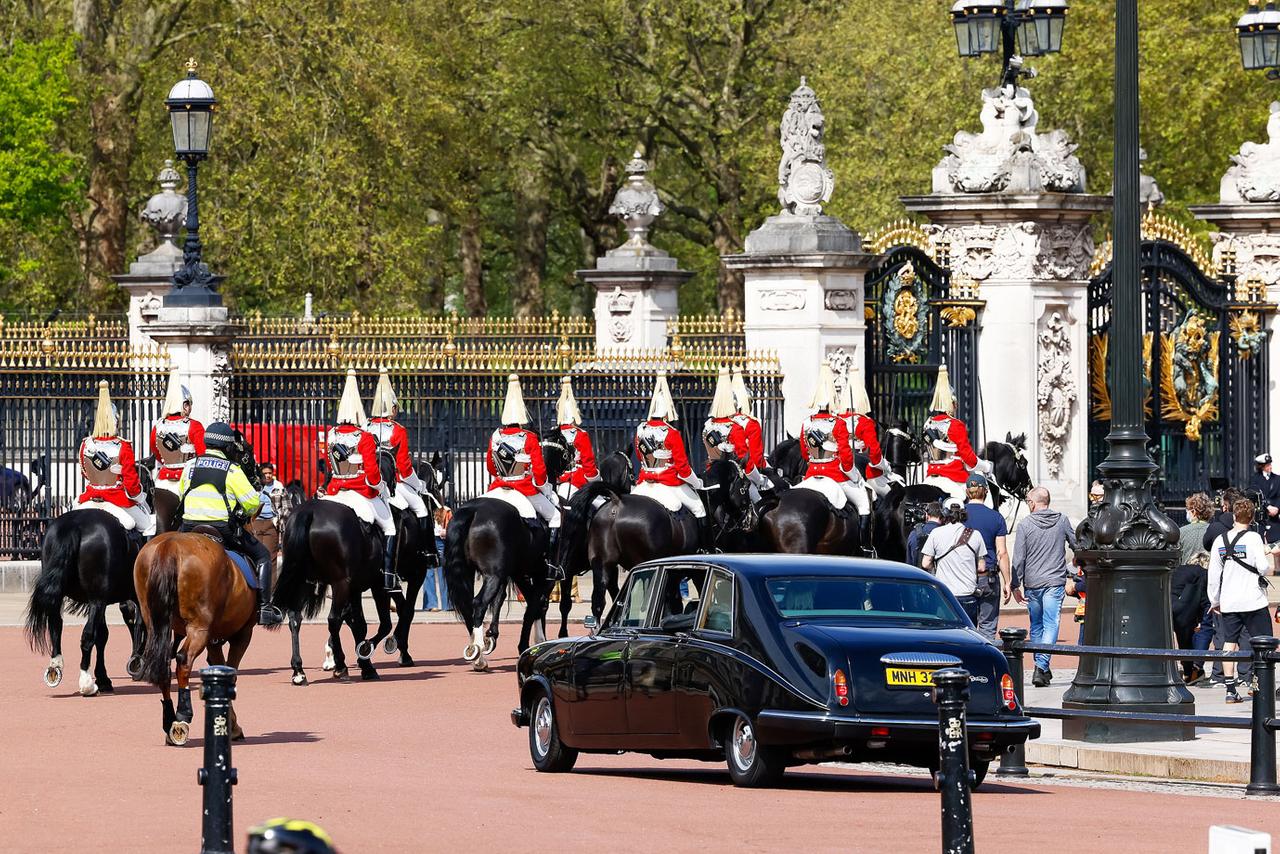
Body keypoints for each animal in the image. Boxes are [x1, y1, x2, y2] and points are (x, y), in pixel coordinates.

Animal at [136, 530, 256, 742]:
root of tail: (170, 545)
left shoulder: (213, 641)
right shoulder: (242, 634)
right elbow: (230, 673)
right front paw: (232, 727)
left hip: (154, 623)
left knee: (163, 664)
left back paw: (169, 720)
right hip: (199, 628)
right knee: (184, 661)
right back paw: (182, 716)